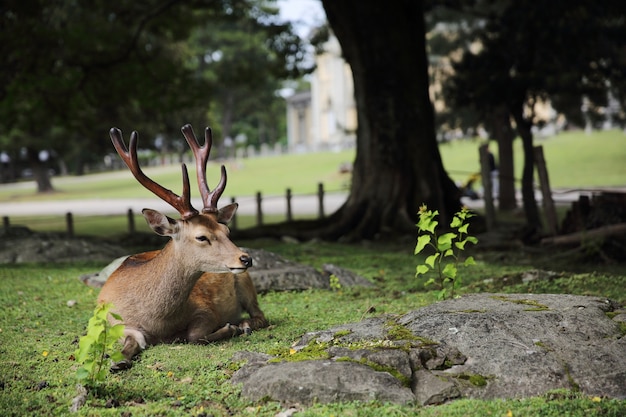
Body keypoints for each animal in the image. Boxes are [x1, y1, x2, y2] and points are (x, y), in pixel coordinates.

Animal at [96, 123, 266, 370]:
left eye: (226, 231)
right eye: (201, 237)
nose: (246, 258)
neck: (159, 322)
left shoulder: (206, 308)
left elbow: (195, 335)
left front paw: (230, 327)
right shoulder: (112, 321)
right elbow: (133, 339)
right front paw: (119, 361)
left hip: (245, 282)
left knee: (260, 314)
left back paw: (245, 324)